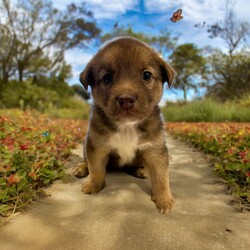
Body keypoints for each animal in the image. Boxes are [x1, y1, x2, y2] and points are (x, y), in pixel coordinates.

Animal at [74, 36, 175, 213]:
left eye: (147, 75)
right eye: (107, 78)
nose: (126, 99)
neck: (127, 126)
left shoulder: (155, 150)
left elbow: (161, 177)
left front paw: (164, 199)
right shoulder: (97, 146)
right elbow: (96, 168)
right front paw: (94, 184)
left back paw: (140, 170)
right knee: (87, 161)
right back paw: (82, 167)